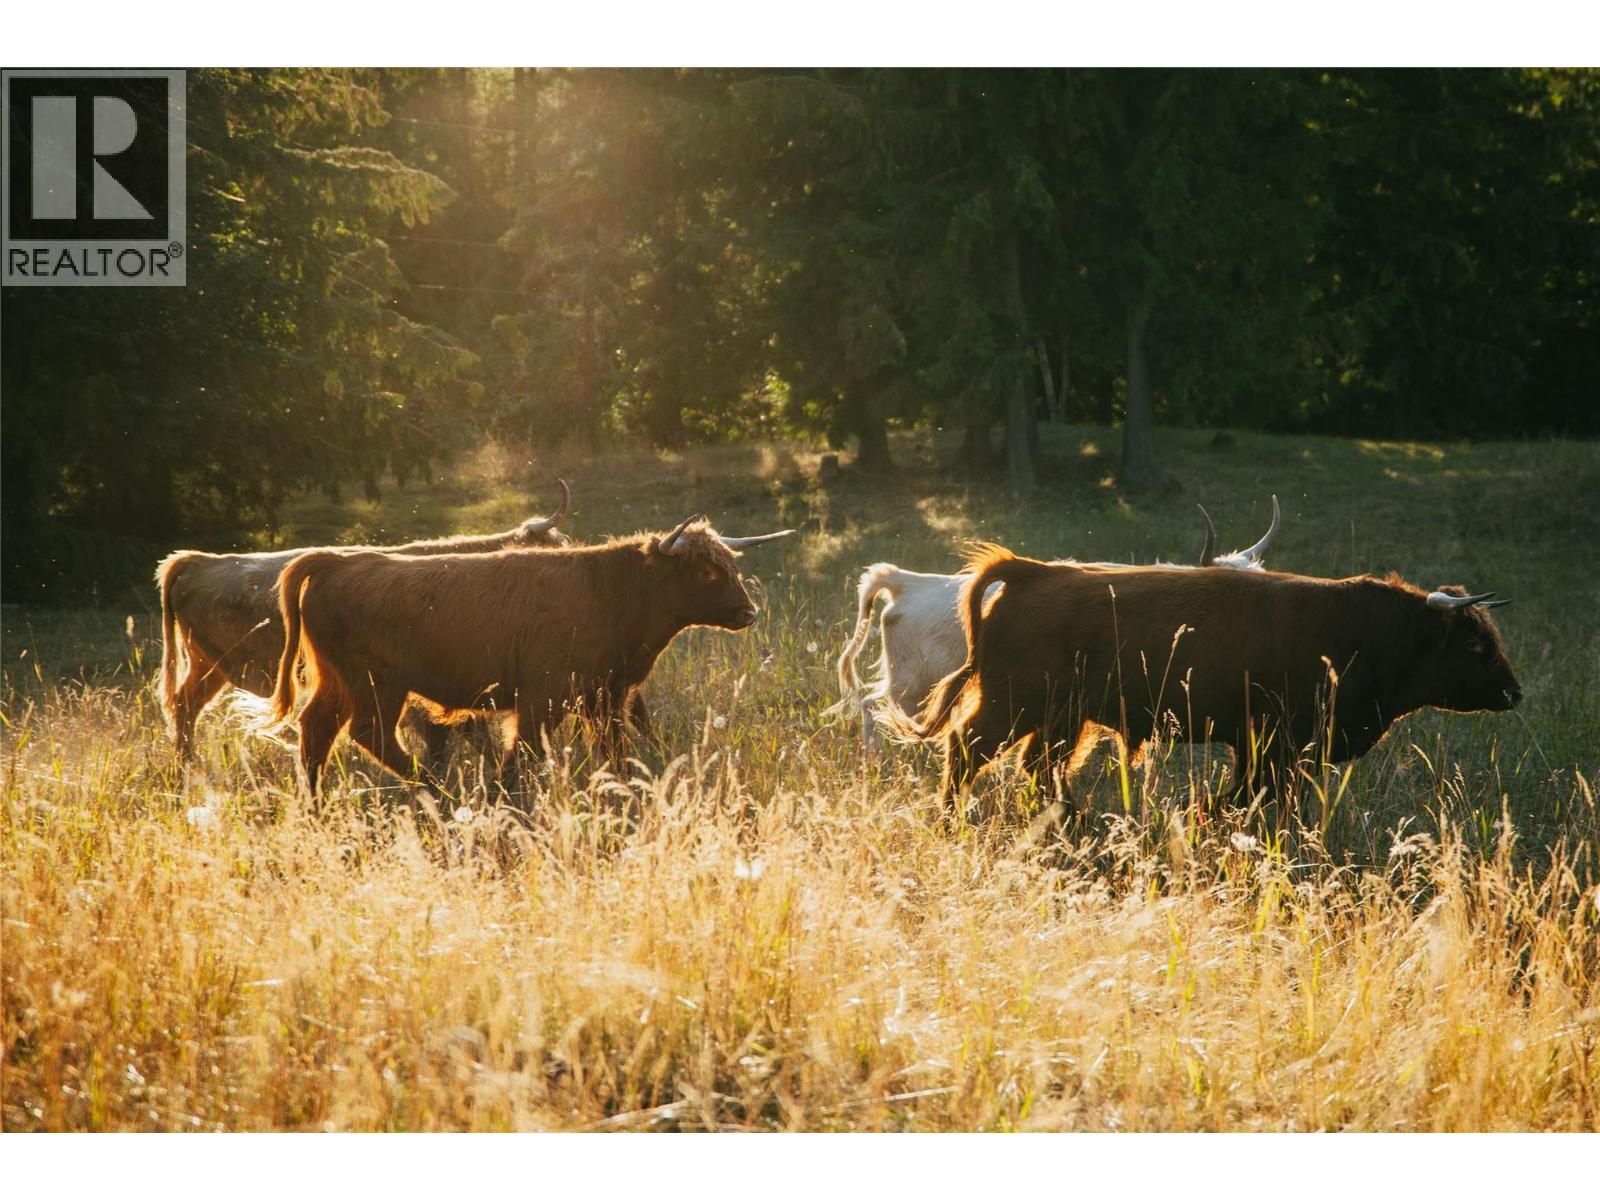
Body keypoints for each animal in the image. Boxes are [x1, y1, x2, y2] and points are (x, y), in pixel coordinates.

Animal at [269, 516, 794, 797]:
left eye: (730, 566)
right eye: (706, 572)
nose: (748, 612)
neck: (610, 592)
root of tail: (338, 561)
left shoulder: (605, 697)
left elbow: (615, 752)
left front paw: (623, 793)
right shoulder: (543, 695)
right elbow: (521, 752)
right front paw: (506, 800)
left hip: (337, 682)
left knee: (316, 730)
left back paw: (316, 802)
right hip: (376, 685)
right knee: (369, 733)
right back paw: (436, 786)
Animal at [905, 544, 1520, 809]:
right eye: (1474, 643)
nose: (1514, 693)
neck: (1364, 630)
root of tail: (1035, 573)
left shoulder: (1259, 746)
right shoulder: (1279, 743)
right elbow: (1259, 797)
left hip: (1060, 719)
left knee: (1040, 767)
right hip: (1012, 707)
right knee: (965, 749)